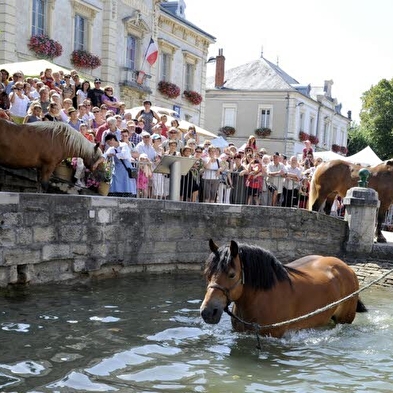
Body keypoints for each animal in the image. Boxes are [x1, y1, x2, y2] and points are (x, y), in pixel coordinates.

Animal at [201, 239, 366, 336]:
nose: (207, 312)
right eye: (208, 273)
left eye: (232, 274)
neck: (262, 297)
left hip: (344, 319)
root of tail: (348, 268)